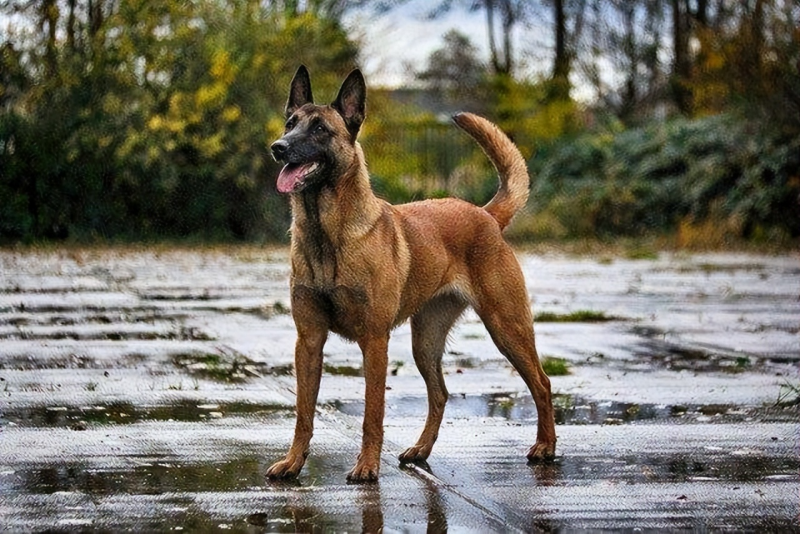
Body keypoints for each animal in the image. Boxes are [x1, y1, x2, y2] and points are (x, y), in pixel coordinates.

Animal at [266, 65, 552, 484]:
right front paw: (293, 462)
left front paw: (366, 466)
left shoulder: (374, 341)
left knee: (542, 383)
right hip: (426, 342)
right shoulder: (309, 341)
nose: (279, 147)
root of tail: (485, 214)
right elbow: (304, 412)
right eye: (290, 123)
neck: (326, 232)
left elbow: (372, 413)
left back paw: (546, 447)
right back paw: (421, 450)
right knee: (440, 393)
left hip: (507, 327)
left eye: (320, 129)